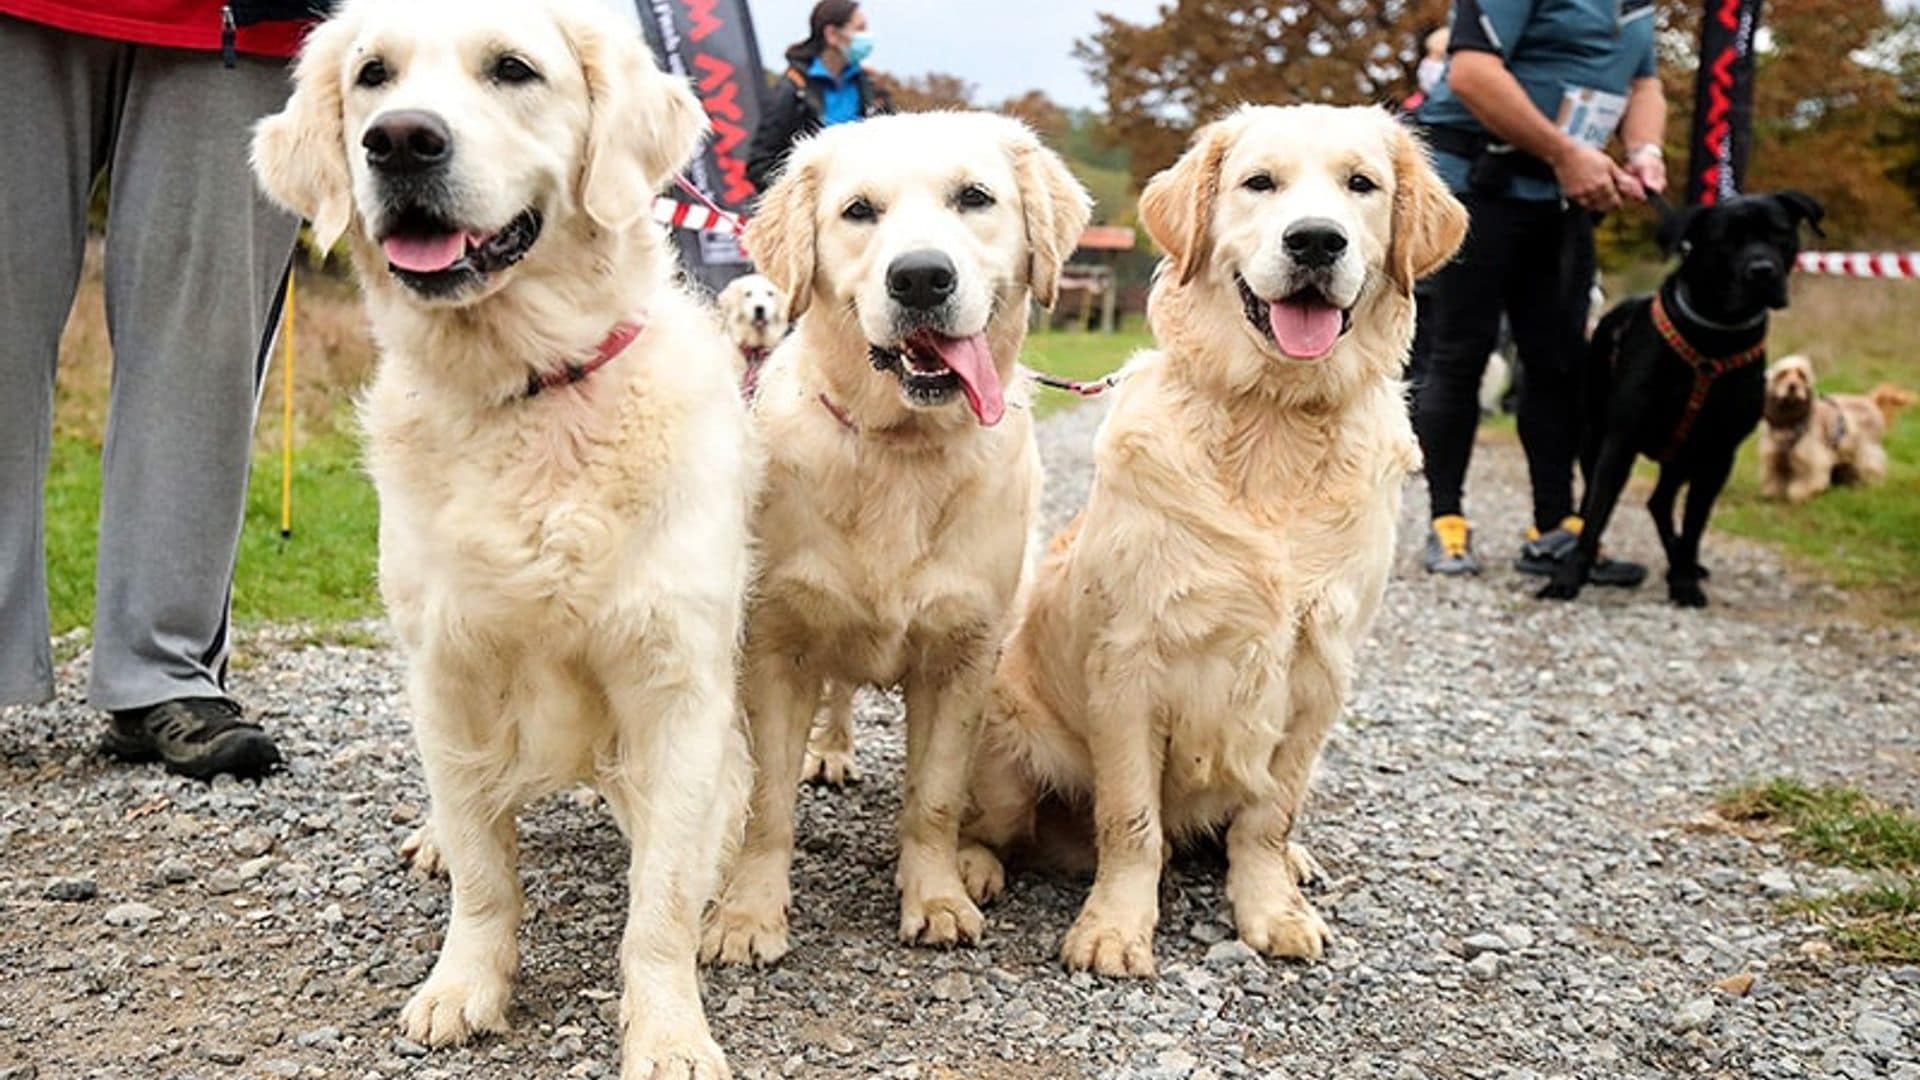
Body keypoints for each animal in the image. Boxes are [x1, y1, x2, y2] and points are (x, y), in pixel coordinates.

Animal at [253, 4, 756, 1068]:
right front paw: (463, 984)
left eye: (513, 69)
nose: (400, 139)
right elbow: (487, 868)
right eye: (372, 75)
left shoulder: (673, 683)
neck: (529, 388)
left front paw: (668, 1032)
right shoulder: (447, 670)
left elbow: (661, 900)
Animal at [702, 113, 1098, 960]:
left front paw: (937, 896)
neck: (902, 451)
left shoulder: (964, 655)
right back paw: (830, 751)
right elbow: (767, 804)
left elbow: (936, 797)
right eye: (859, 211)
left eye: (975, 197)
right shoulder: (778, 643)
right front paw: (749, 913)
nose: (920, 277)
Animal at [952, 105, 1459, 972]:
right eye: (1260, 183)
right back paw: (970, 867)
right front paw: (1114, 929)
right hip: (1010, 748)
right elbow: (1132, 822)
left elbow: (1269, 817)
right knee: (989, 823)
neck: (1274, 420)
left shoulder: (1320, 672)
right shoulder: (1130, 663)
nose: (1316, 241)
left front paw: (1272, 906)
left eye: (1361, 184)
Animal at [1758, 355, 1912, 503]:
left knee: (1873, 467)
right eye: (1782, 374)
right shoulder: (1774, 456)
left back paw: (1871, 486)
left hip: (1867, 449)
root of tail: (1870, 400)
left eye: (1802, 375)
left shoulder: (1811, 458)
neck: (1790, 418)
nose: (1793, 386)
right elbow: (1774, 478)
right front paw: (1772, 494)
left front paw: (1799, 495)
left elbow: (1806, 482)